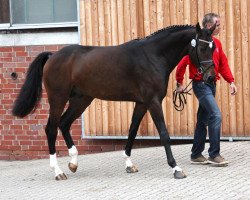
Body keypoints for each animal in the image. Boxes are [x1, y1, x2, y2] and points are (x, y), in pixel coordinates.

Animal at [11, 22, 216, 180]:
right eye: (202, 48)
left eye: (213, 47)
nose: (211, 77)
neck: (153, 55)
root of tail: (52, 56)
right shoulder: (153, 102)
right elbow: (164, 134)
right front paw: (176, 168)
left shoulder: (142, 103)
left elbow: (132, 131)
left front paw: (129, 164)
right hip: (58, 98)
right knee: (51, 129)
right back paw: (58, 171)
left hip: (81, 100)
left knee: (64, 123)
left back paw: (73, 163)